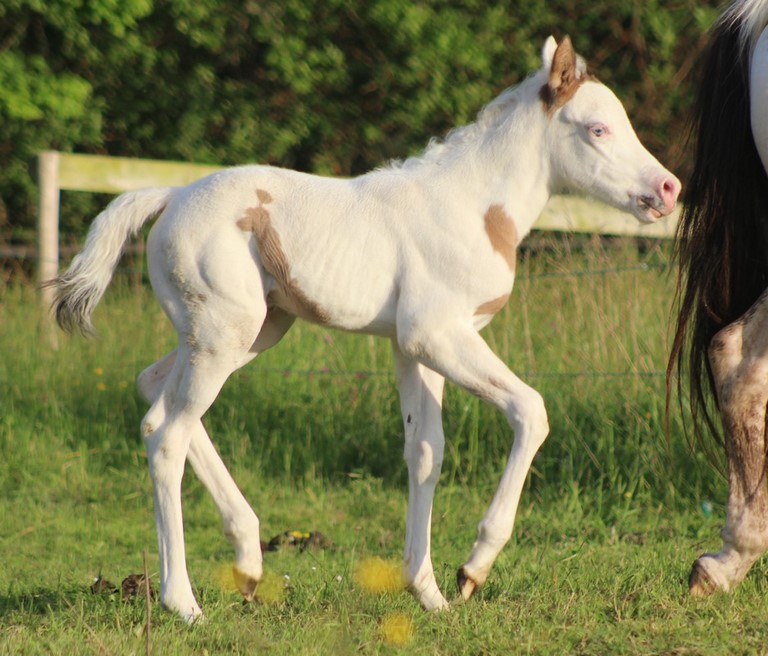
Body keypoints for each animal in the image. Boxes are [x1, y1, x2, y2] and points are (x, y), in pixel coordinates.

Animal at [49, 36, 679, 622]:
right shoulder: (437, 335)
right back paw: (185, 603)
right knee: (166, 437)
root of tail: (172, 194)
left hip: (248, 332)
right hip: (223, 335)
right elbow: (531, 410)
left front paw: (428, 593)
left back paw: (249, 560)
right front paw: (473, 569)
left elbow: (425, 452)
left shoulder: (412, 348)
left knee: (153, 394)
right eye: (598, 129)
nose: (668, 189)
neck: (474, 208)